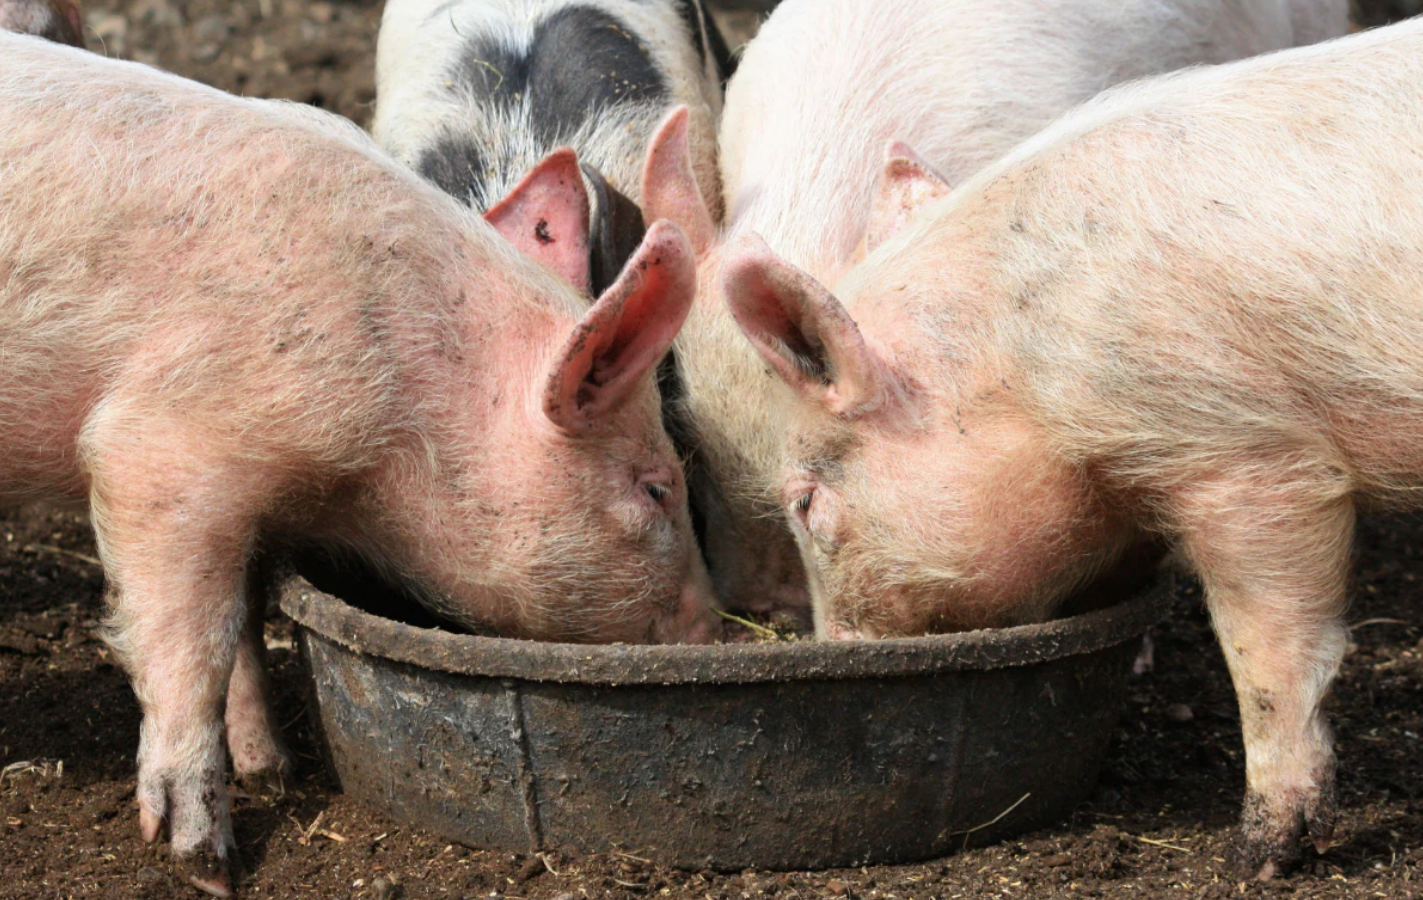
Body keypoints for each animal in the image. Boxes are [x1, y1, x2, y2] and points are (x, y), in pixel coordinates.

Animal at [0, 34, 716, 896]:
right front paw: (209, 864)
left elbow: (243, 619)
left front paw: (272, 772)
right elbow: (193, 638)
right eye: (657, 487)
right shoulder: (162, 447)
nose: (715, 631)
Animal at [722, 16, 1423, 878]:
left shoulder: (1245, 453)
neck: (1020, 365)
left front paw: (1256, 858)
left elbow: (1268, 651)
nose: (835, 649)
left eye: (804, 501)